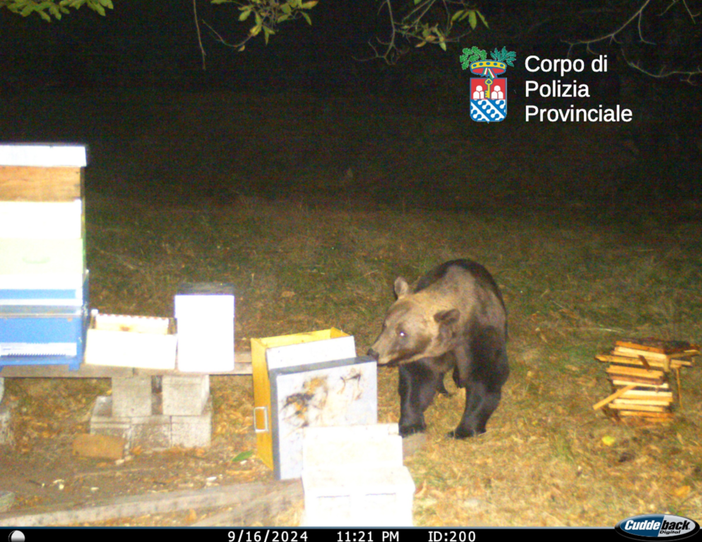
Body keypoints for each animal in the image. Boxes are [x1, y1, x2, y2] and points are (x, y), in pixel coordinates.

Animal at [367, 259, 509, 439]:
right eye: (385, 325)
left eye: (402, 332)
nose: (374, 352)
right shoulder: (427, 352)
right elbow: (418, 380)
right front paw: (411, 424)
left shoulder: (481, 336)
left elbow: (485, 377)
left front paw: (463, 429)